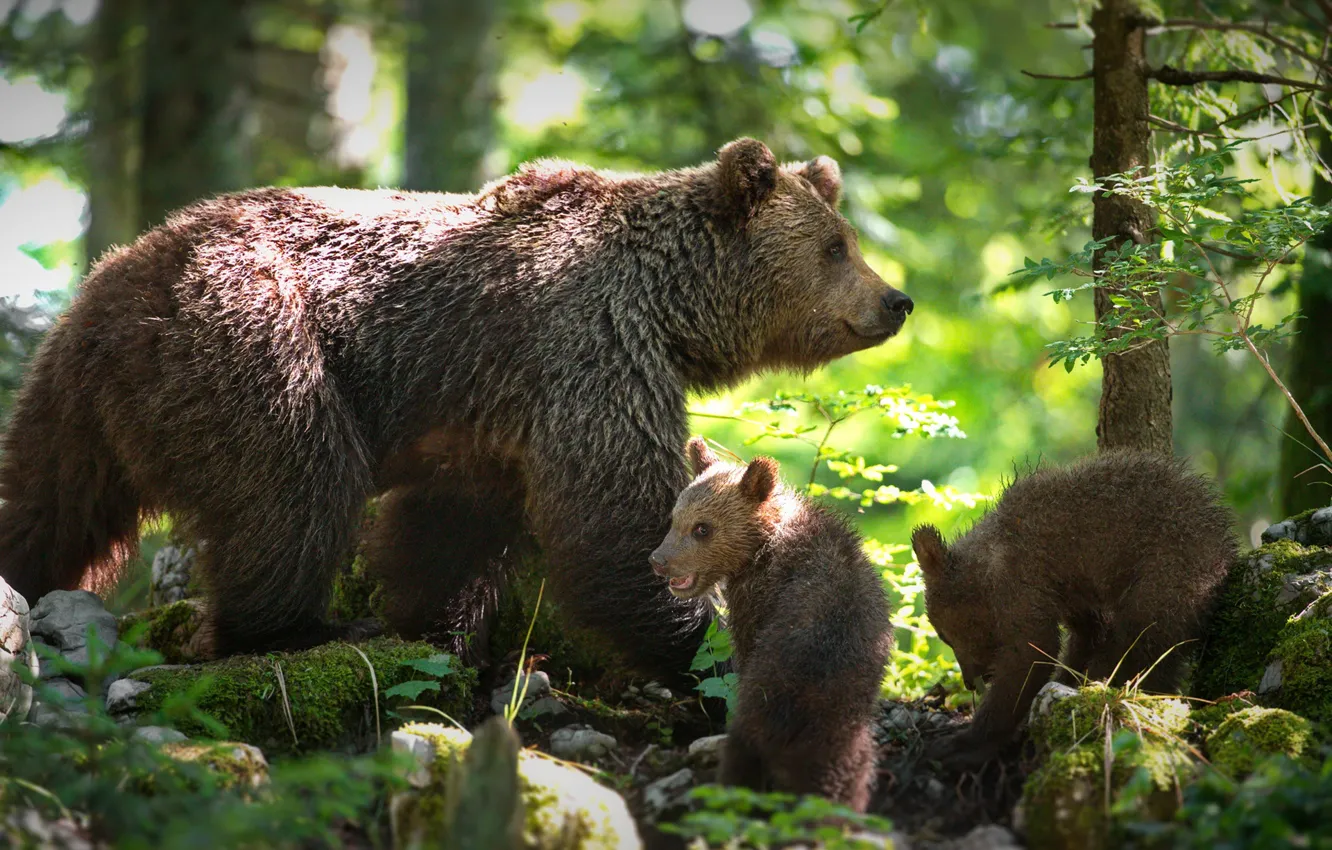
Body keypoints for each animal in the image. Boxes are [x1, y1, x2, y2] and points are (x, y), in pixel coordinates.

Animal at [0, 138, 913, 677]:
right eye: (837, 246)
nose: (896, 300)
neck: (669, 305)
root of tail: (122, 282)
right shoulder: (586, 347)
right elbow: (611, 514)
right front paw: (696, 642)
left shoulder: (487, 414)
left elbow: (451, 528)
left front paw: (435, 629)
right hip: (252, 339)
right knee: (294, 489)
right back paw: (288, 629)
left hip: (72, 396)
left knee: (49, 503)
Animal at [911, 450, 1238, 768]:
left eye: (944, 635)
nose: (971, 680)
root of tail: (1224, 546)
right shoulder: (1070, 592)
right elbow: (1085, 637)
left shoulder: (1019, 582)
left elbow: (1030, 653)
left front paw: (964, 744)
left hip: (1170, 570)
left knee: (1143, 642)